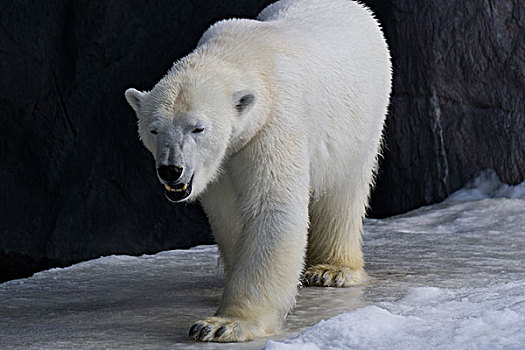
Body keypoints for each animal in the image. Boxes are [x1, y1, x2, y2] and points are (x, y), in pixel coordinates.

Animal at [124, 0, 388, 342]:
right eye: (154, 129)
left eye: (198, 128)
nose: (171, 170)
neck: (241, 53)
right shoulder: (223, 159)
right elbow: (228, 214)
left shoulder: (272, 124)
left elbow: (271, 208)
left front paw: (222, 324)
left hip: (361, 116)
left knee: (343, 190)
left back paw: (331, 270)